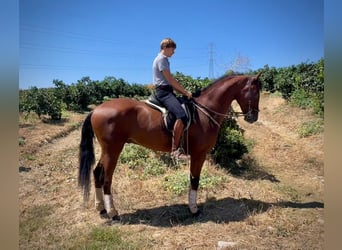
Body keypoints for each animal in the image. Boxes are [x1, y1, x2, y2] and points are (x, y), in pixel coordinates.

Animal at [78, 73, 262, 221]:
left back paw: (101, 209)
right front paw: (194, 210)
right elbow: (195, 179)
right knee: (106, 178)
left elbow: (192, 179)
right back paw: (113, 213)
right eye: (255, 92)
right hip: (113, 150)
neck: (204, 111)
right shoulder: (199, 154)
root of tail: (96, 110)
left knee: (97, 173)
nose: (253, 117)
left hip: (107, 150)